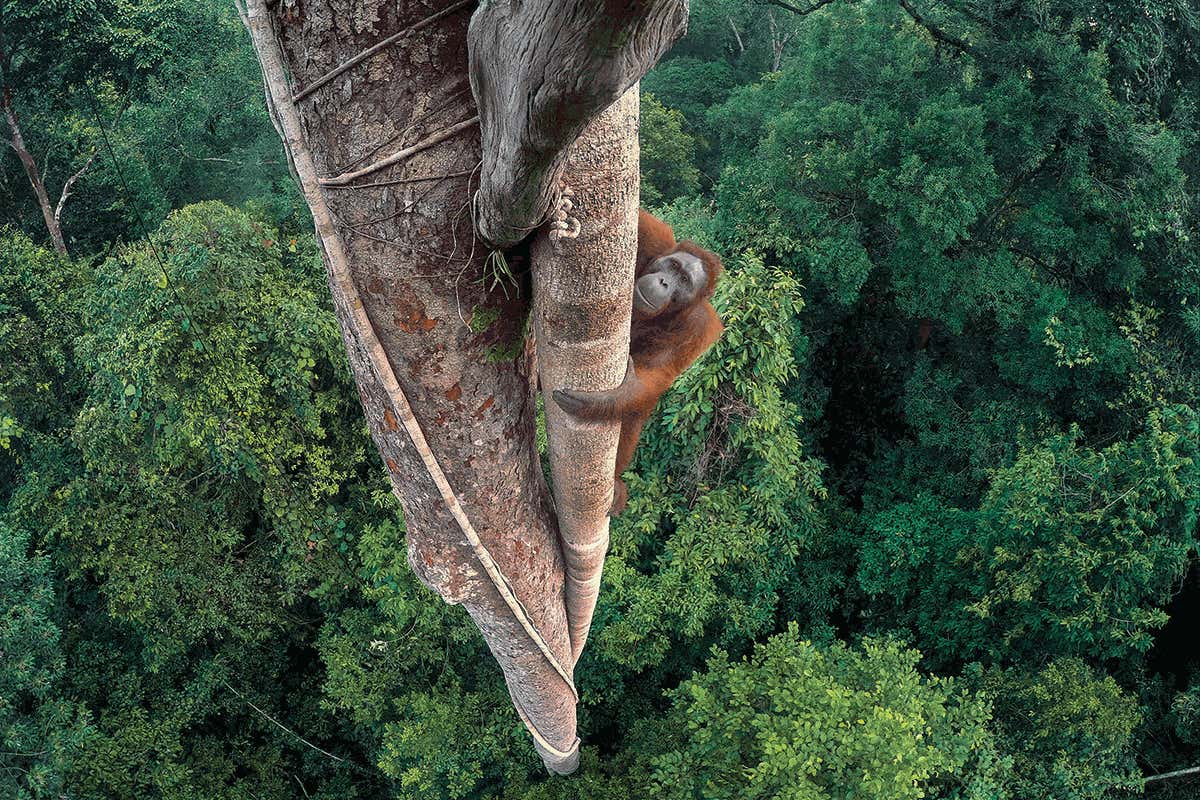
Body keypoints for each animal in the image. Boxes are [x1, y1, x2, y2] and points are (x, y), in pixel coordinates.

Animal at [552, 209, 724, 515]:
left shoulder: (698, 327)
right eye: (673, 266)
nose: (665, 282)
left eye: (684, 281)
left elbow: (655, 375)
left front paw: (608, 399)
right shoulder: (654, 240)